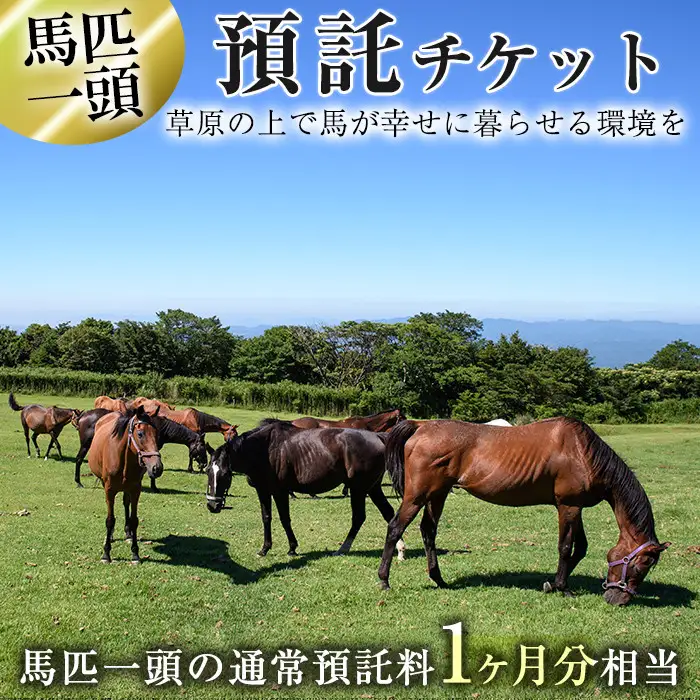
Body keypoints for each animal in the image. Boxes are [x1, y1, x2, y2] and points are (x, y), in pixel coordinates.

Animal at [74, 410, 210, 489]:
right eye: (202, 447)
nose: (204, 463)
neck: (161, 426)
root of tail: (83, 416)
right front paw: (154, 487)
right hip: (85, 445)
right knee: (78, 460)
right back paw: (78, 482)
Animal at [88, 407, 163, 564]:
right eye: (140, 434)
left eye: (157, 434)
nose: (157, 468)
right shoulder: (109, 490)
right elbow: (110, 520)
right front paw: (106, 553)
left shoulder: (135, 490)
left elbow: (134, 520)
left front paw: (135, 554)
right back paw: (110, 536)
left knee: (125, 503)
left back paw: (128, 534)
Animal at [206, 419, 406, 560]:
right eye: (208, 470)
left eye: (225, 474)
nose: (212, 506)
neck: (264, 449)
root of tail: (379, 437)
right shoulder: (262, 490)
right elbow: (266, 517)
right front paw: (264, 549)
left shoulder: (279, 492)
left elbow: (284, 519)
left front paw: (292, 548)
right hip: (372, 488)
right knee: (388, 513)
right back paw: (400, 549)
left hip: (359, 488)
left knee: (359, 518)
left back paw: (342, 549)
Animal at [378, 418, 670, 606]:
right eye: (642, 564)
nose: (618, 599)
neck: (582, 452)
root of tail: (420, 426)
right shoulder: (568, 506)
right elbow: (566, 547)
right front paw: (563, 588)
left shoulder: (575, 508)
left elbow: (581, 548)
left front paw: (552, 584)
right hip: (417, 495)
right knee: (395, 528)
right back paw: (384, 581)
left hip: (437, 495)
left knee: (428, 531)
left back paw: (439, 579)